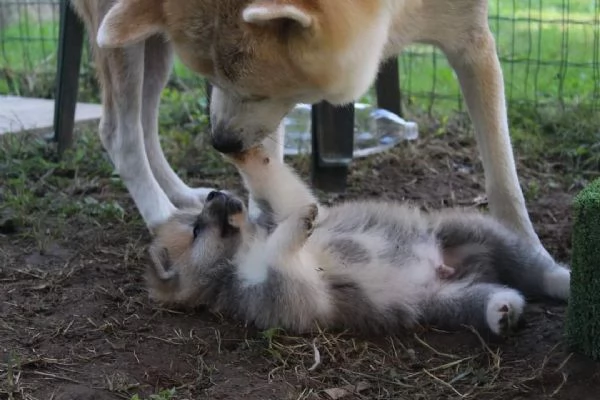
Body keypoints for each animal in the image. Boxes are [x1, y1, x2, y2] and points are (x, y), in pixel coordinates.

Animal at [70, 0, 552, 260]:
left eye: (255, 89)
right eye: (209, 77)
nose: (221, 143)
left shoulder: (472, 41)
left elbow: (505, 180)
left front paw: (534, 257)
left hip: (151, 43)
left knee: (143, 123)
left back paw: (180, 193)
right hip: (121, 34)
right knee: (118, 131)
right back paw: (159, 213)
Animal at [148, 145, 568, 336]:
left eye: (199, 214)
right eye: (196, 231)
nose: (215, 193)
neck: (245, 247)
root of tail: (449, 266)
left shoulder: (281, 209)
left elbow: (279, 190)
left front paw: (247, 153)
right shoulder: (291, 291)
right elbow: (280, 250)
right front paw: (298, 225)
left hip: (471, 230)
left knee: (536, 269)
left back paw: (565, 280)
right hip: (447, 300)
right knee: (504, 293)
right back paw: (503, 311)